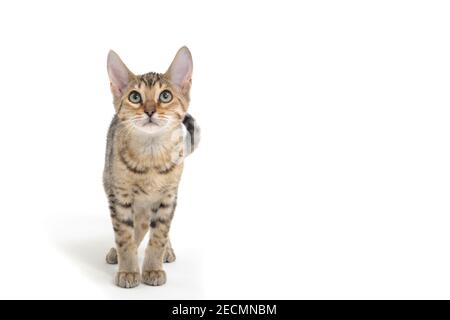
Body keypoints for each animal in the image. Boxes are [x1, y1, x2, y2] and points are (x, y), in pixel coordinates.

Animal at [104, 47, 200, 288]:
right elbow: (125, 236)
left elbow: (159, 236)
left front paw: (153, 268)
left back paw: (168, 251)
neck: (151, 156)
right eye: (134, 97)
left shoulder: (168, 199)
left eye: (165, 96)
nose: (149, 111)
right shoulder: (120, 197)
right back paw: (116, 253)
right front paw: (128, 270)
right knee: (139, 226)